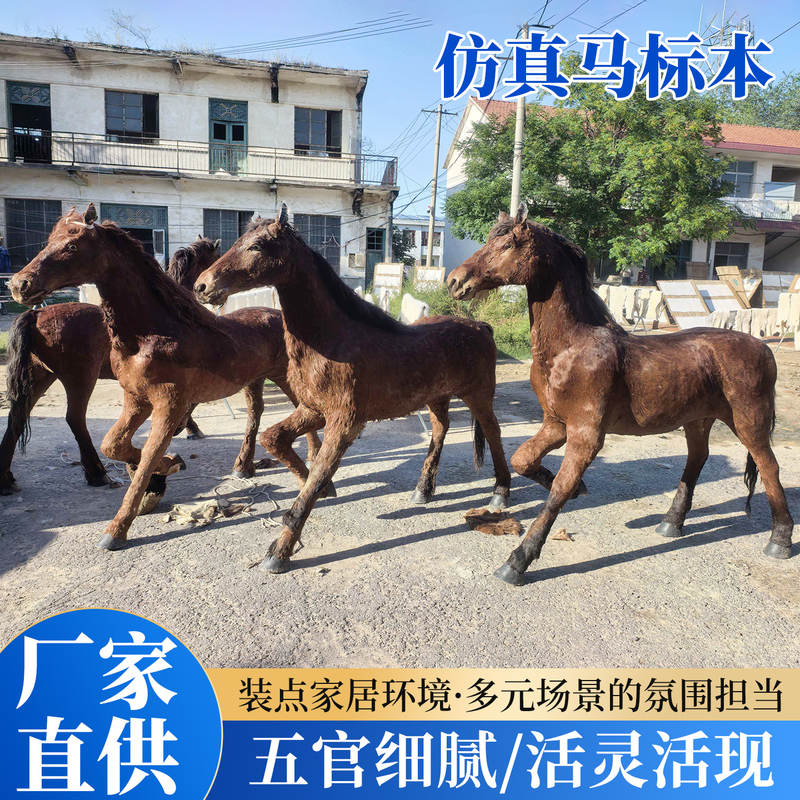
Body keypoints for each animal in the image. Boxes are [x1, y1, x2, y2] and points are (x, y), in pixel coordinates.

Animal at [1, 237, 222, 496]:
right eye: (215, 257)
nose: (207, 289)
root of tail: (34, 316)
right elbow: (192, 402)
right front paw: (187, 428)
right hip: (81, 378)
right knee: (75, 419)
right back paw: (97, 473)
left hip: (41, 376)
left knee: (17, 418)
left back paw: (7, 480)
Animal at [193, 204, 511, 574]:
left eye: (256, 246)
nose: (202, 286)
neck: (333, 340)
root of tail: (481, 326)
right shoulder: (313, 410)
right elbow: (275, 440)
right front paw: (323, 488)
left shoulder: (344, 423)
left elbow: (314, 476)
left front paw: (279, 552)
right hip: (437, 398)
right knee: (440, 429)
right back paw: (423, 490)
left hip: (478, 396)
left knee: (493, 433)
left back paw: (500, 492)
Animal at [447, 205, 794, 586]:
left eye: (508, 244)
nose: (455, 281)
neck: (571, 347)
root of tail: (763, 348)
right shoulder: (556, 424)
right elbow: (524, 460)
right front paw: (577, 488)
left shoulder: (586, 434)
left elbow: (558, 491)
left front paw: (518, 561)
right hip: (698, 420)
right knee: (697, 460)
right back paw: (670, 523)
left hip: (748, 421)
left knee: (769, 466)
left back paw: (779, 540)